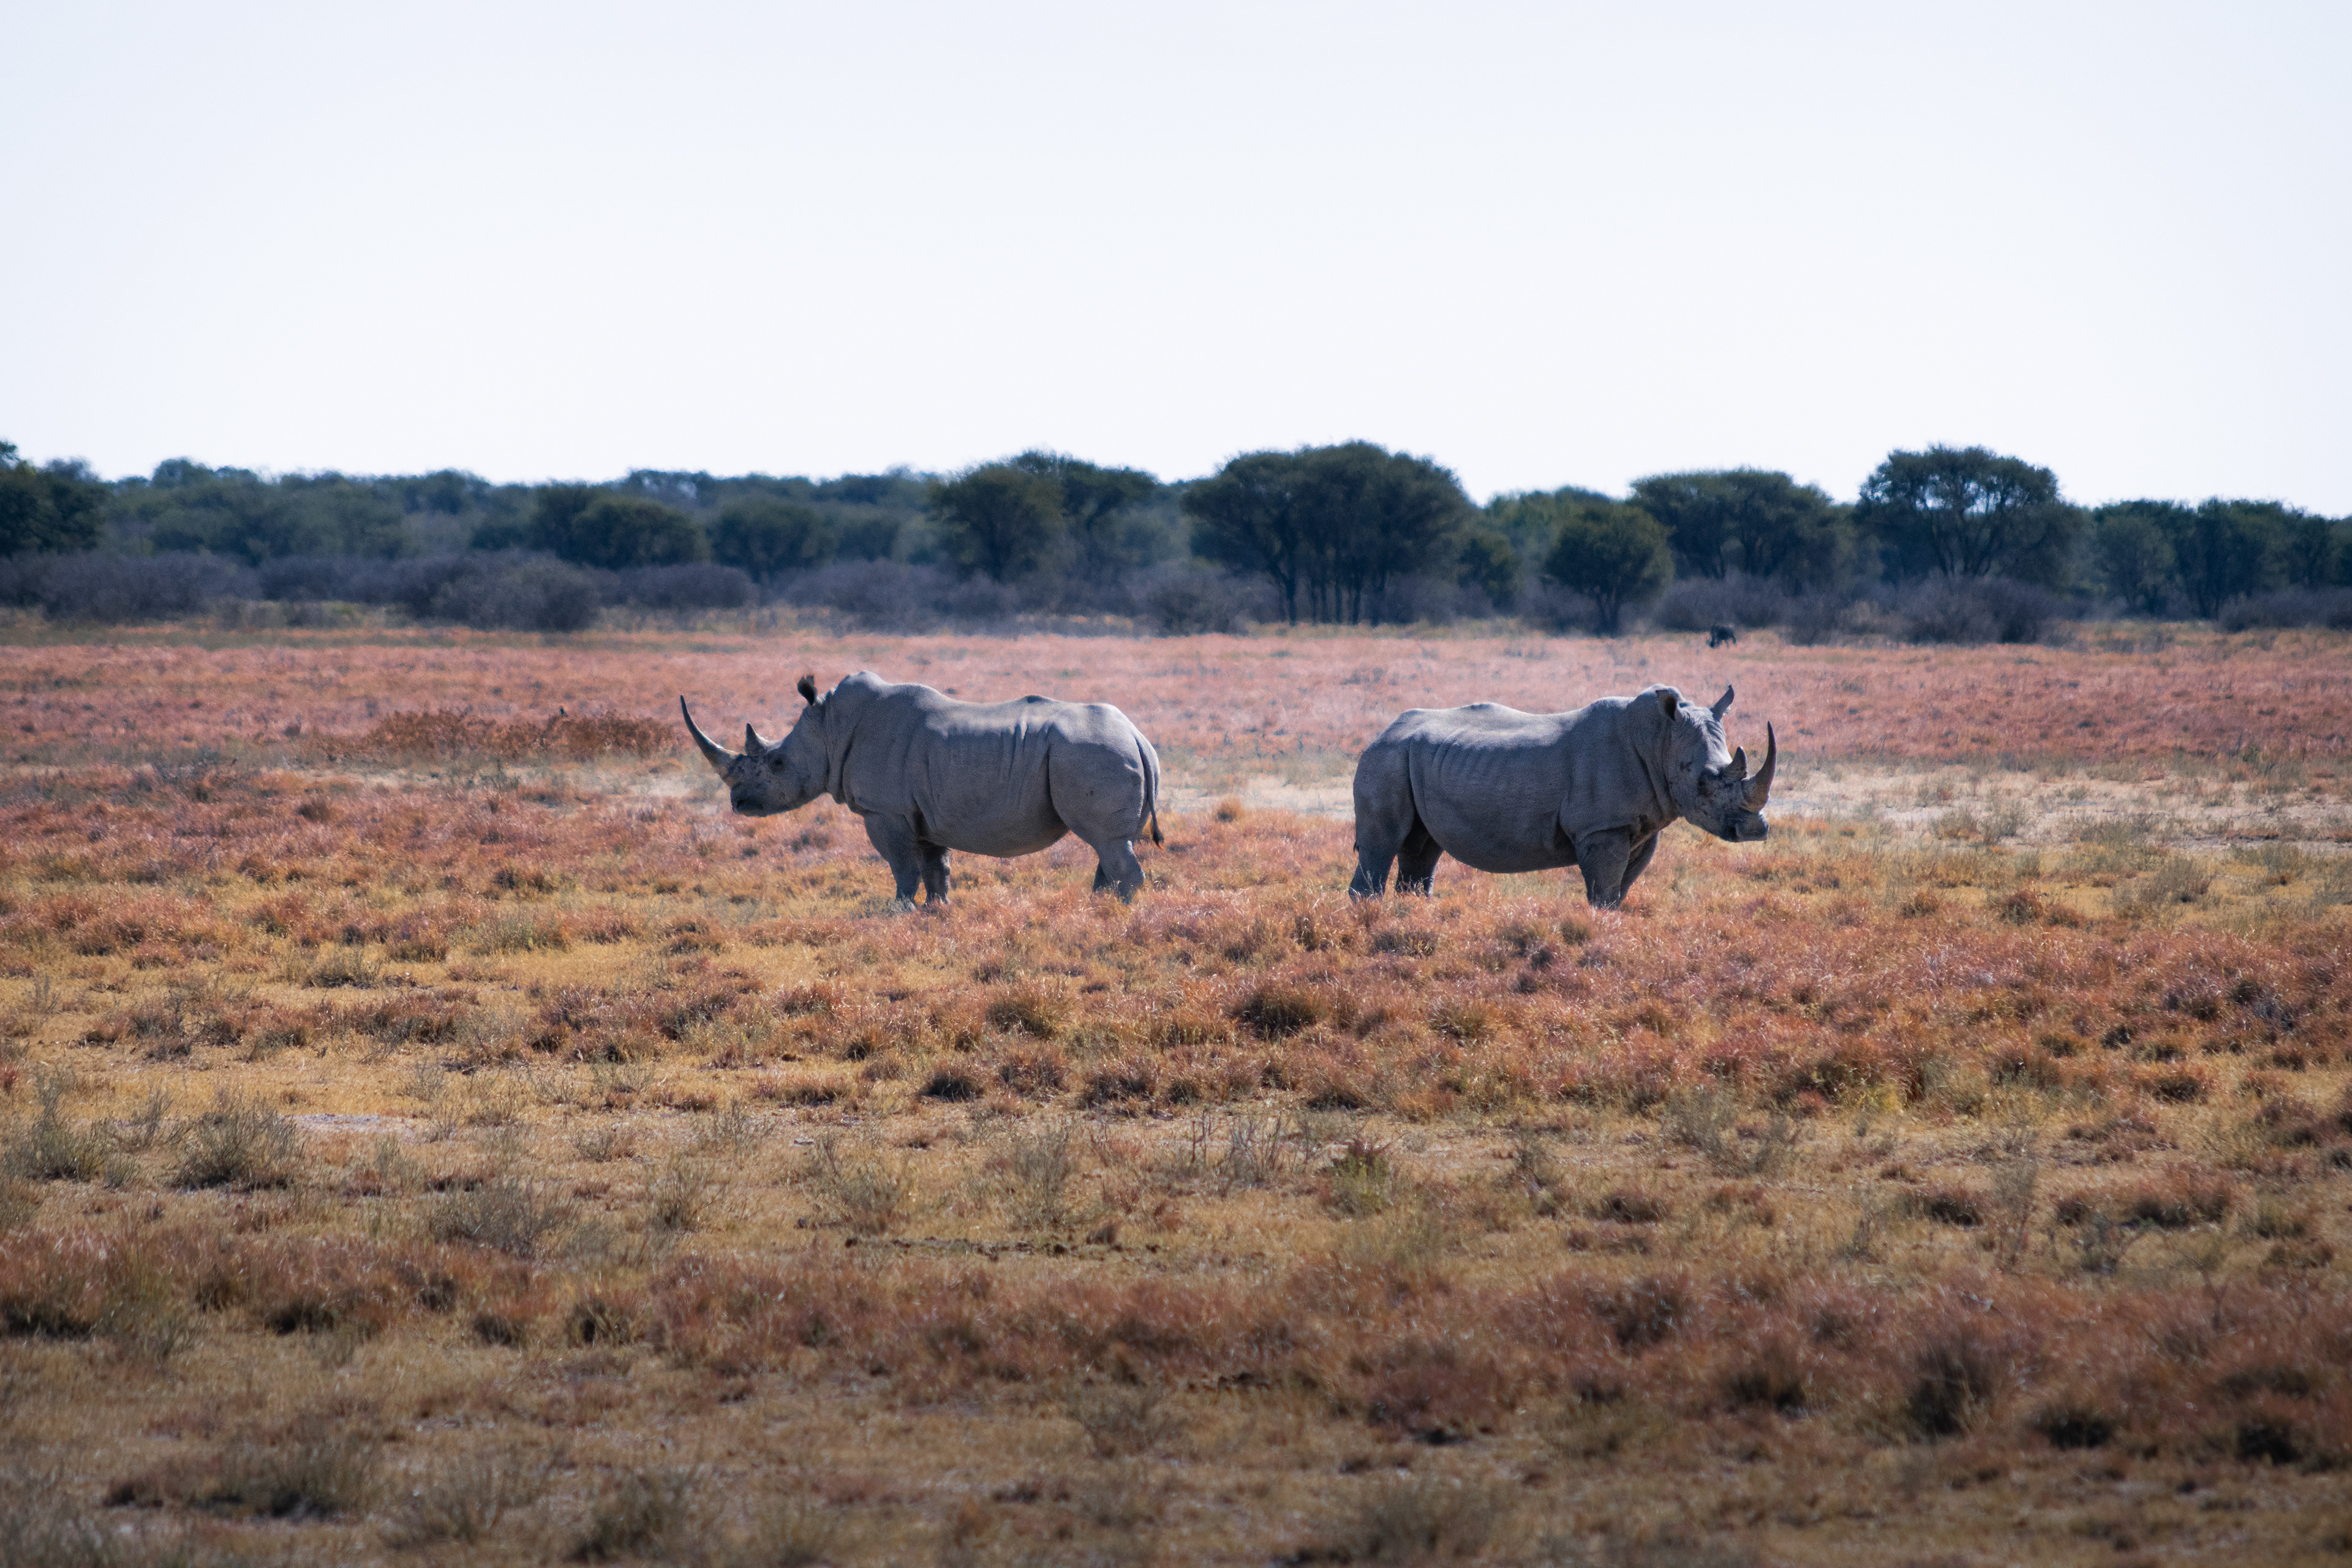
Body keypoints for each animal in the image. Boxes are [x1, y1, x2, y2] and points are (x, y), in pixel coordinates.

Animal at [680, 670, 1163, 905]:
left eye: (777, 763)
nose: (738, 803)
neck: (830, 727)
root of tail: (1138, 737)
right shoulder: (928, 811)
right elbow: (935, 867)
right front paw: (937, 910)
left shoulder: (885, 810)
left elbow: (901, 866)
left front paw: (899, 911)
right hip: (1107, 752)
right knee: (1109, 844)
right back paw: (1096, 909)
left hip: (1093, 753)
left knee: (1107, 842)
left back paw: (1120, 914)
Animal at [1347, 684, 1774, 909]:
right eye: (1704, 782)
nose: (1755, 830)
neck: (1660, 741)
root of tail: (1381, 733)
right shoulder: (1602, 828)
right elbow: (1604, 889)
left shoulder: (1643, 827)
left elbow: (1620, 891)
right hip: (1387, 759)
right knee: (1383, 843)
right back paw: (1369, 916)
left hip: (1415, 758)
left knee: (1422, 848)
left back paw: (1414, 915)